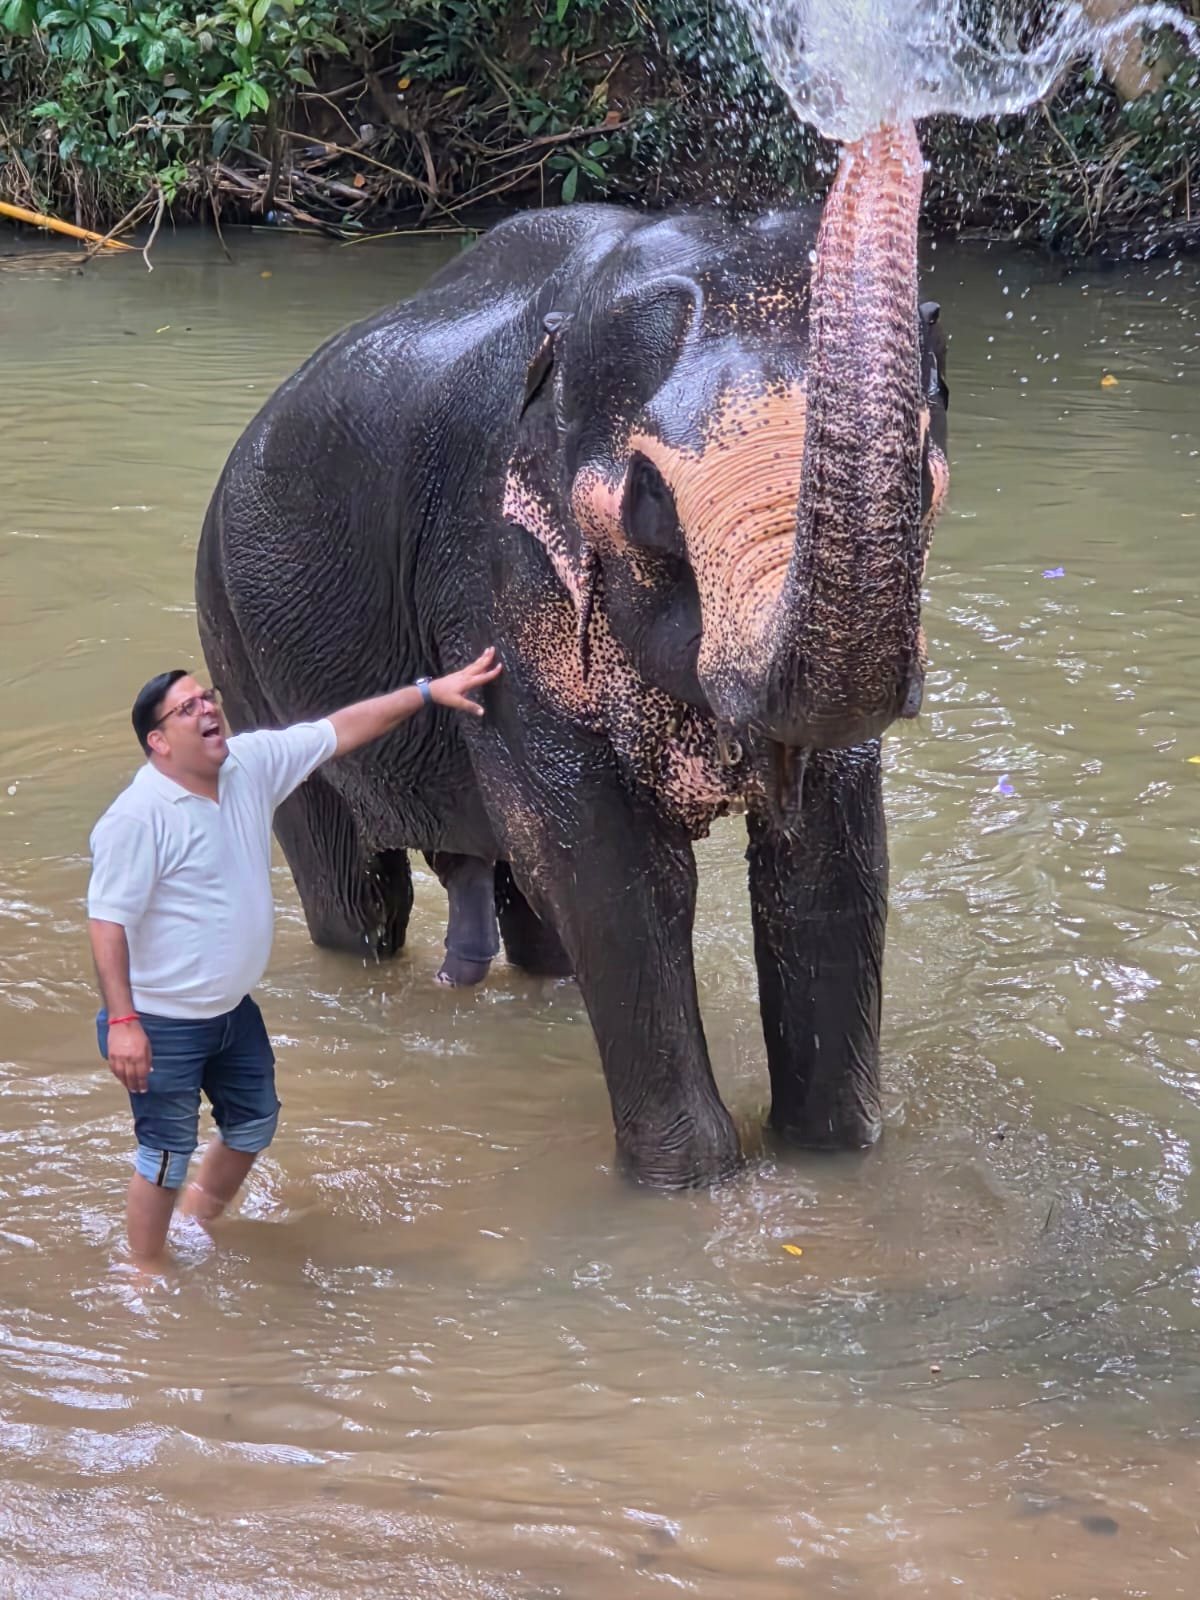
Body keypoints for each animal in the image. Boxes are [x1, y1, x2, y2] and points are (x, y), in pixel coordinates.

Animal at [195, 120, 950, 1188]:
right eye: (647, 495)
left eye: (926, 466)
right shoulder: (494, 570)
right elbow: (614, 869)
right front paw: (693, 1190)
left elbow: (830, 865)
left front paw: (832, 1164)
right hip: (235, 636)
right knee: (361, 893)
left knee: (517, 891)